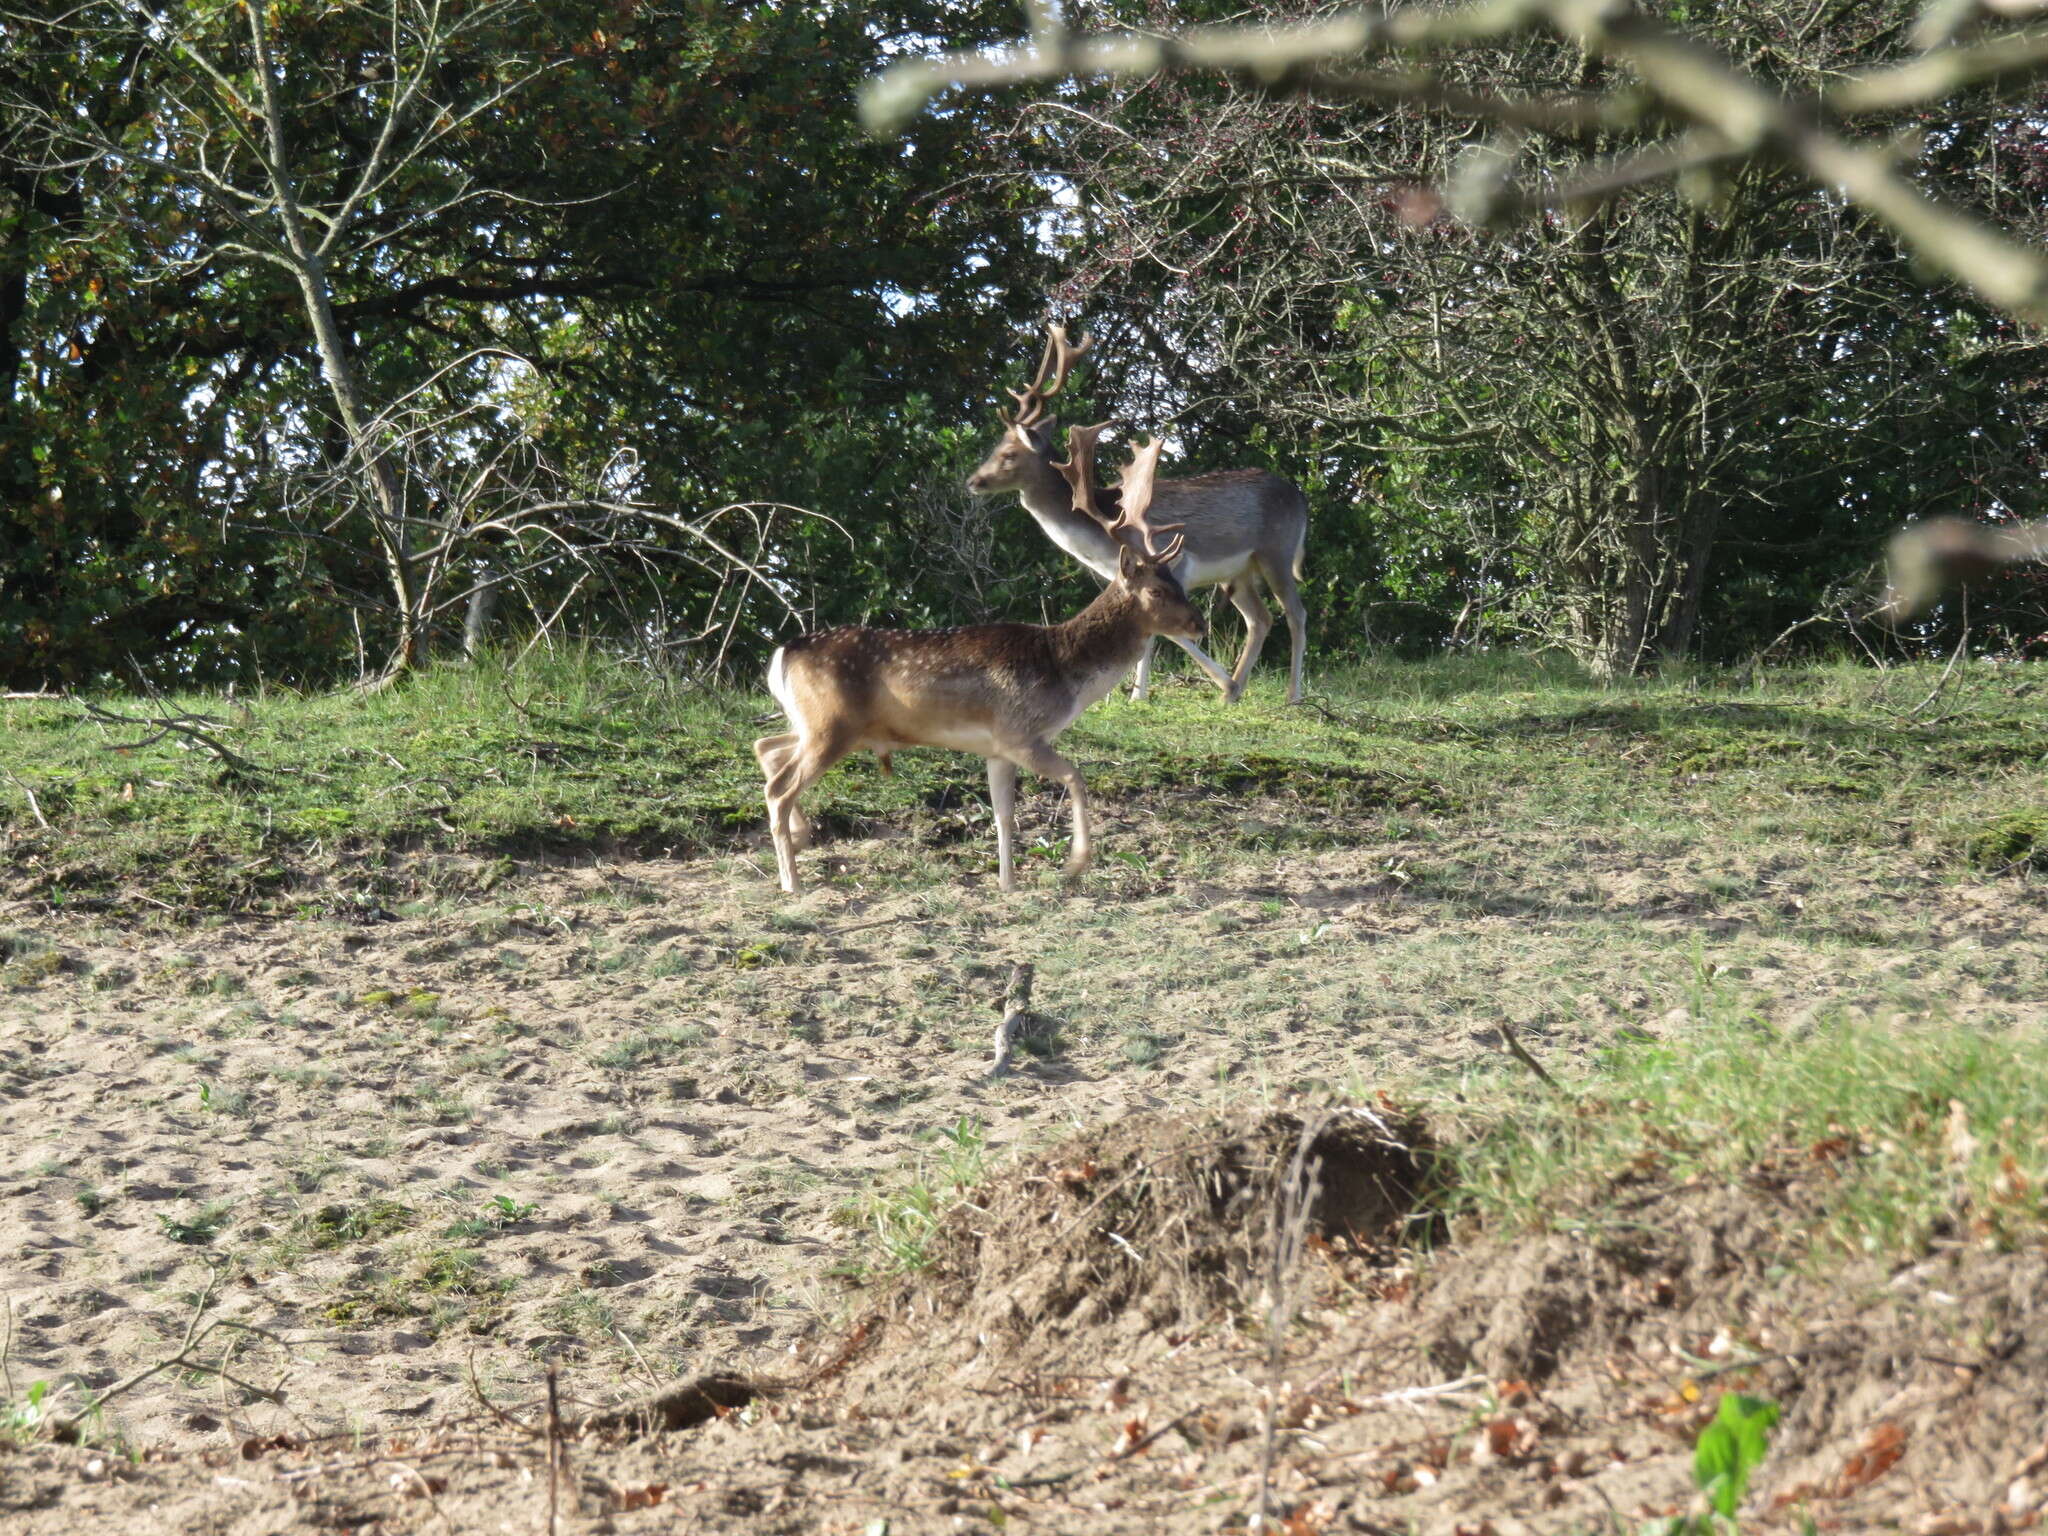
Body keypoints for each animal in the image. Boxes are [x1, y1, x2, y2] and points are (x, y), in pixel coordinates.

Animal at [753, 434, 1196, 897]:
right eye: (1157, 591)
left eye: (1179, 583)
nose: (1198, 624)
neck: (1064, 670)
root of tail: (782, 654)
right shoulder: (1020, 732)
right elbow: (1075, 778)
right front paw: (1075, 865)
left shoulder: (997, 748)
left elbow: (1004, 815)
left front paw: (1008, 884)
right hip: (831, 726)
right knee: (779, 787)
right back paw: (791, 881)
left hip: (824, 726)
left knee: (766, 747)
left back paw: (800, 839)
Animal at [962, 331, 1310, 708]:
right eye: (997, 447)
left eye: (1009, 454)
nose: (973, 481)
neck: (1100, 539)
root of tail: (1301, 499)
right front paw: (1140, 693)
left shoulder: (1174, 560)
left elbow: (1169, 632)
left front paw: (1147, 692)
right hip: (1238, 573)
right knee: (1260, 618)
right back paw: (1233, 692)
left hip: (1277, 550)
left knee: (1296, 613)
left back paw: (1291, 695)